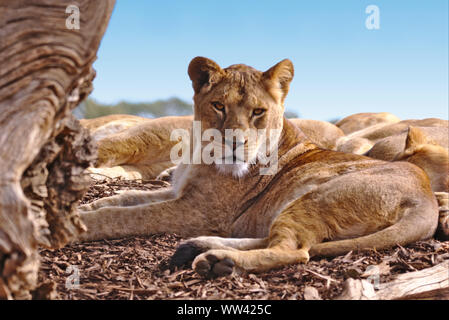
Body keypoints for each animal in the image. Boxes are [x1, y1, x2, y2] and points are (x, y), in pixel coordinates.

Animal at [78, 56, 438, 276]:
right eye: (219, 106)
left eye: (258, 112)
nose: (235, 142)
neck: (200, 153)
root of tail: (427, 198)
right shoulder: (179, 191)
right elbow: (125, 198)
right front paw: (85, 207)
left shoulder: (198, 212)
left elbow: (126, 216)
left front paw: (82, 224)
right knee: (278, 240)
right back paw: (203, 251)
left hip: (316, 197)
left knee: (296, 251)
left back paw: (217, 261)